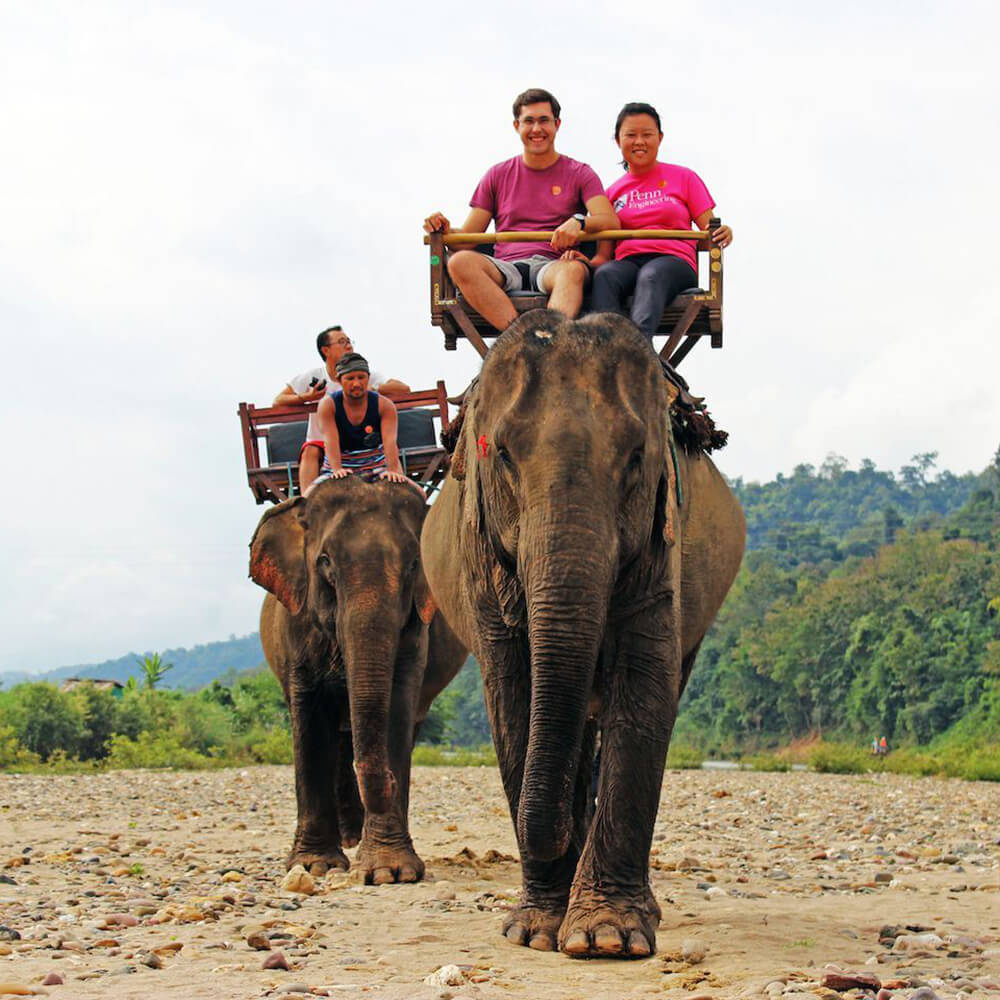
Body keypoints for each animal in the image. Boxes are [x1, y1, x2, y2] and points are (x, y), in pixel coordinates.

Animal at [250, 476, 468, 884]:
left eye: (414, 564)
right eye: (324, 562)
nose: (390, 783)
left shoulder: (417, 632)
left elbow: (396, 709)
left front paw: (389, 872)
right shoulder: (296, 625)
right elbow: (309, 722)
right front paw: (314, 865)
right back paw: (346, 840)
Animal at [420, 308, 744, 956]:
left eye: (638, 457)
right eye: (502, 454)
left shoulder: (663, 540)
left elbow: (645, 687)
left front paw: (606, 937)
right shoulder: (479, 557)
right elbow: (513, 697)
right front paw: (537, 931)